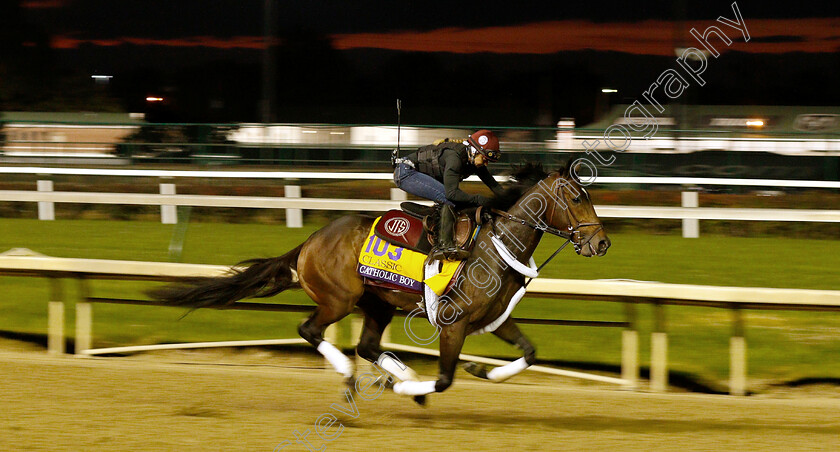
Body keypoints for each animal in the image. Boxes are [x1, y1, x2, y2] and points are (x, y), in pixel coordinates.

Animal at [149, 161, 612, 400]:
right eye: (577, 197)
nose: (602, 242)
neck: (495, 243)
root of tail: (308, 242)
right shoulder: (455, 322)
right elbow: (444, 379)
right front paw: (420, 388)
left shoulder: (494, 319)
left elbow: (530, 353)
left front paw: (483, 371)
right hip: (340, 298)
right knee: (310, 329)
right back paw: (357, 377)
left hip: (378, 303)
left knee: (368, 345)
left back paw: (396, 374)